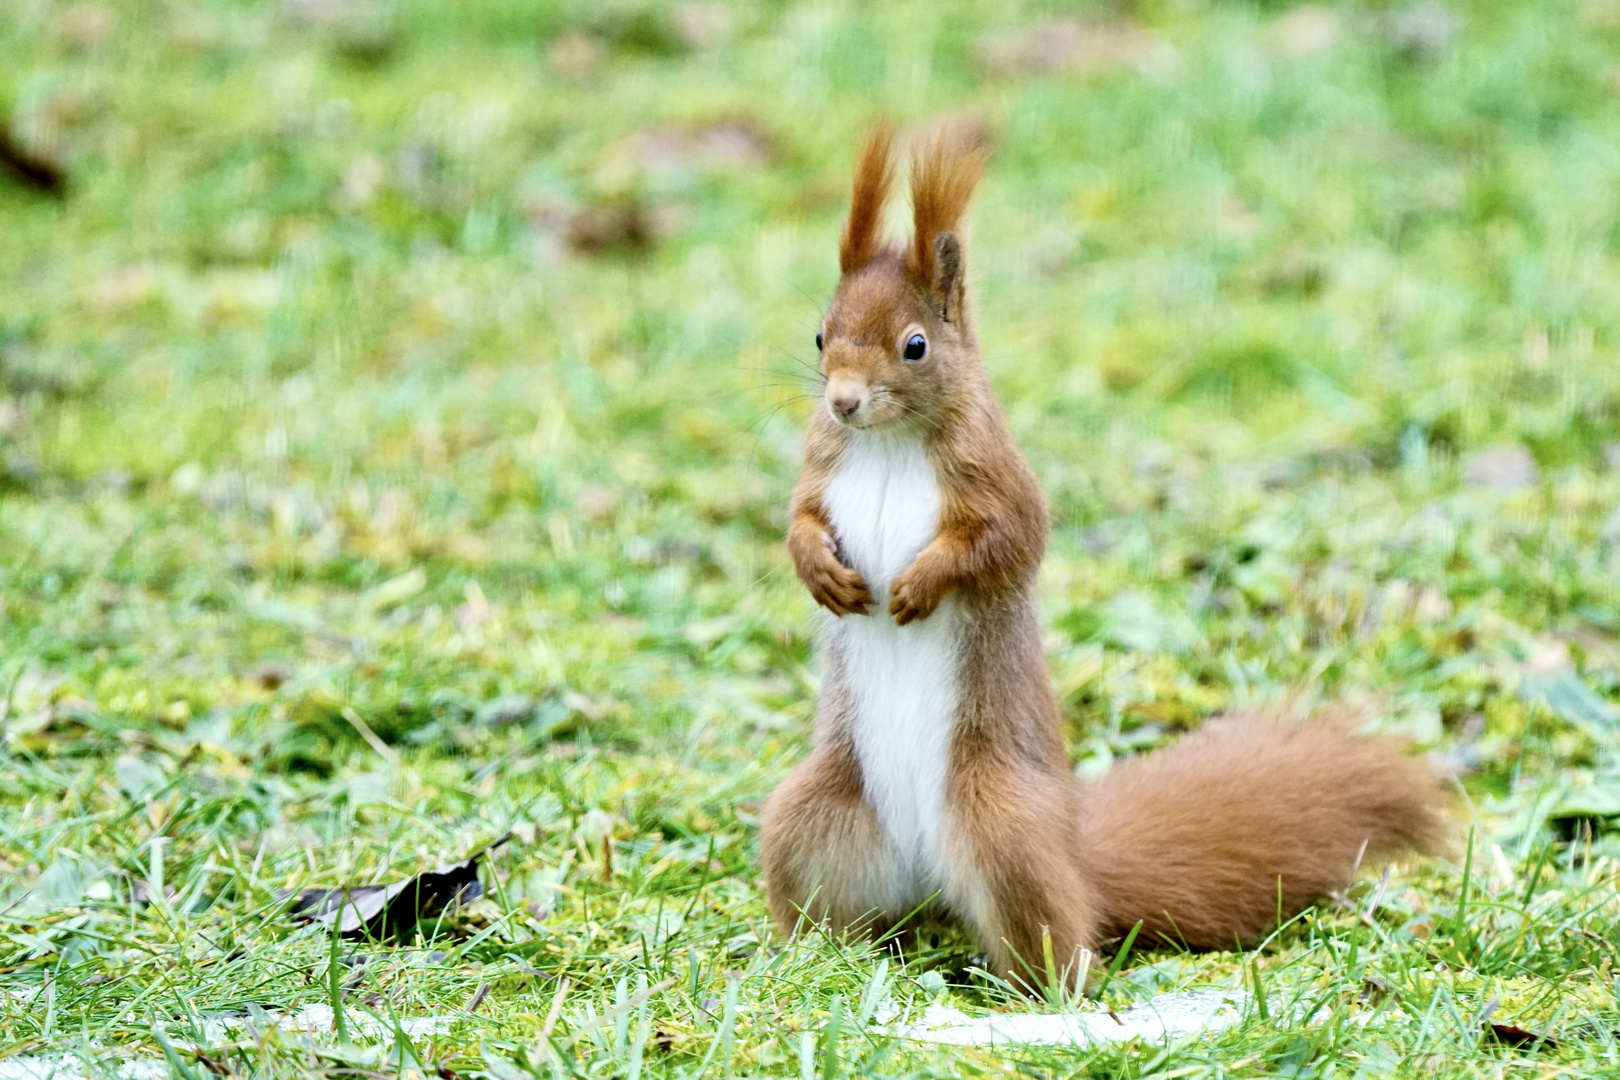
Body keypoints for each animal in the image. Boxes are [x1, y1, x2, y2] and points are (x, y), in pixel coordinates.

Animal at [758, 122, 1458, 990]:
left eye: (914, 345)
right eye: (821, 335)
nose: (843, 400)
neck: (885, 443)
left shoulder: (997, 479)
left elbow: (1005, 542)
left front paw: (922, 584)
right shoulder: (823, 464)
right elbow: (799, 517)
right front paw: (817, 569)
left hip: (1004, 834)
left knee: (1065, 938)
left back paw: (1032, 990)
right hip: (812, 819)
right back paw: (808, 957)